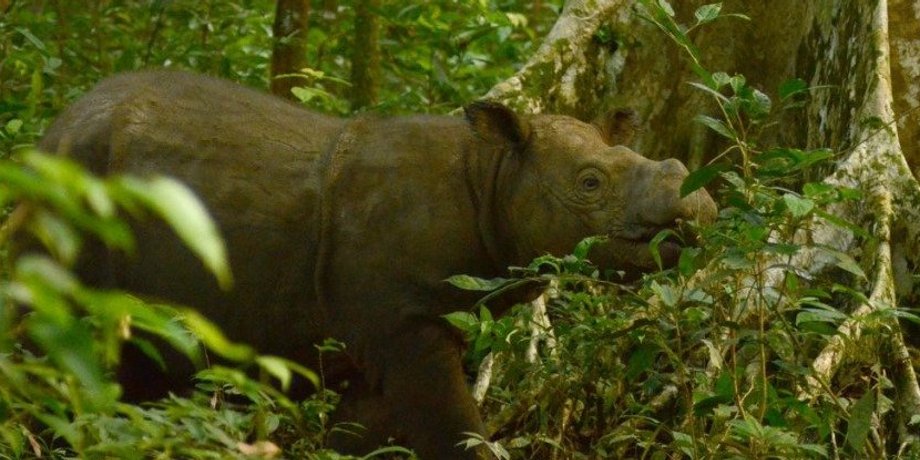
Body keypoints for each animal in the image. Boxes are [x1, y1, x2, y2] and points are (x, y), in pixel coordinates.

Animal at [37, 71, 717, 459]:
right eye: (590, 182)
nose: (700, 205)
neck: (493, 175)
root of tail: (53, 130)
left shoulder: (397, 329)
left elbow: (360, 439)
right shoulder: (404, 320)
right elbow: (457, 433)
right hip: (70, 187)